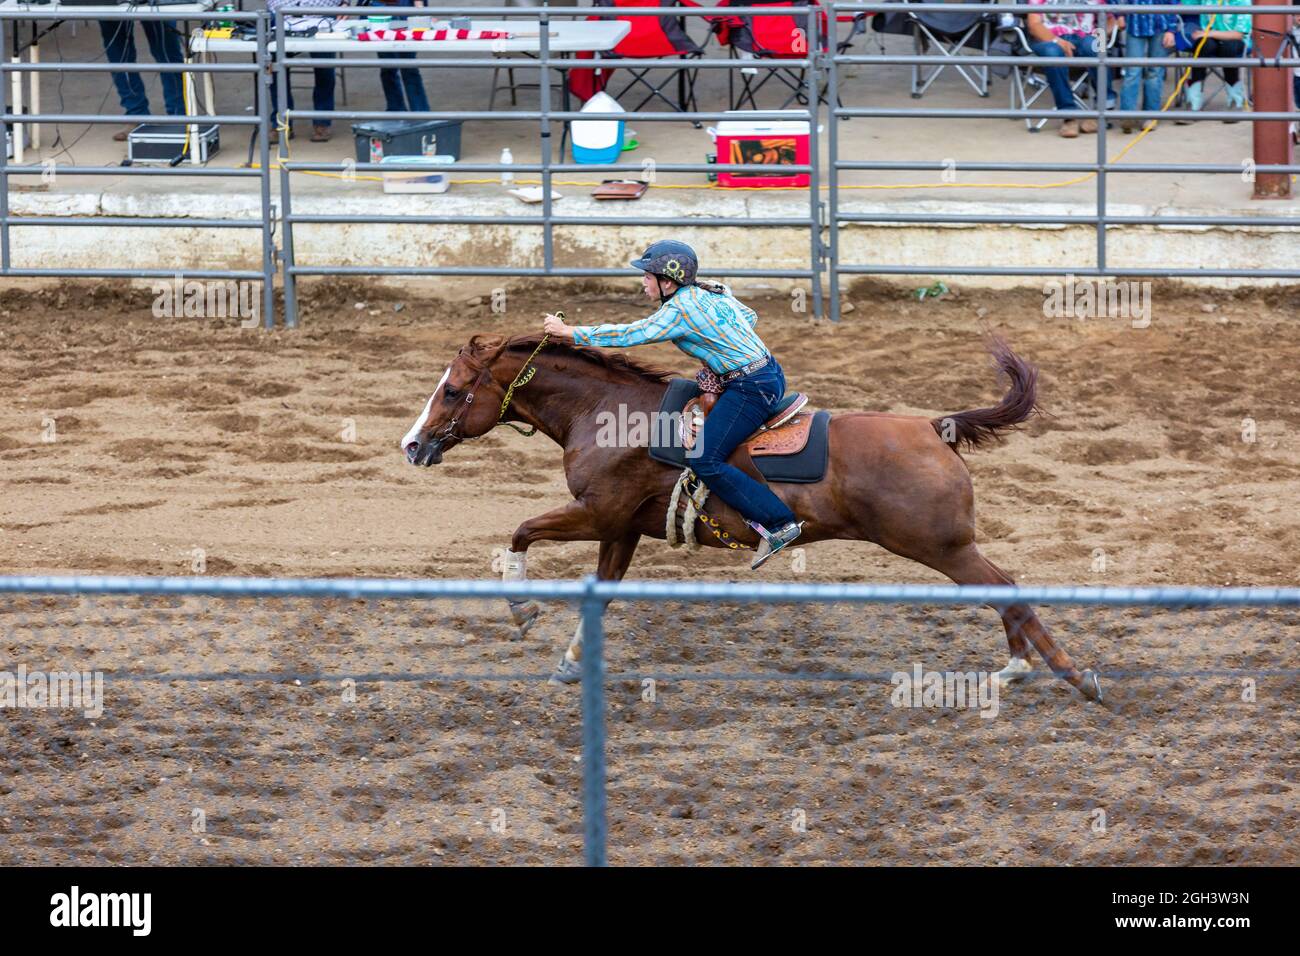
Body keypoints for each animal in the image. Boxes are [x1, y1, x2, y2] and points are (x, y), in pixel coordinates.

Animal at [400, 330, 1102, 702]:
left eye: (454, 390)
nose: (412, 445)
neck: (608, 413)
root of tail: (934, 427)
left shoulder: (596, 514)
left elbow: (519, 533)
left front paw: (521, 611)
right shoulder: (620, 529)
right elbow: (597, 591)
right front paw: (572, 662)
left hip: (939, 545)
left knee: (1007, 589)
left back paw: (1071, 677)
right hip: (944, 546)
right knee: (1005, 589)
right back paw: (1019, 668)